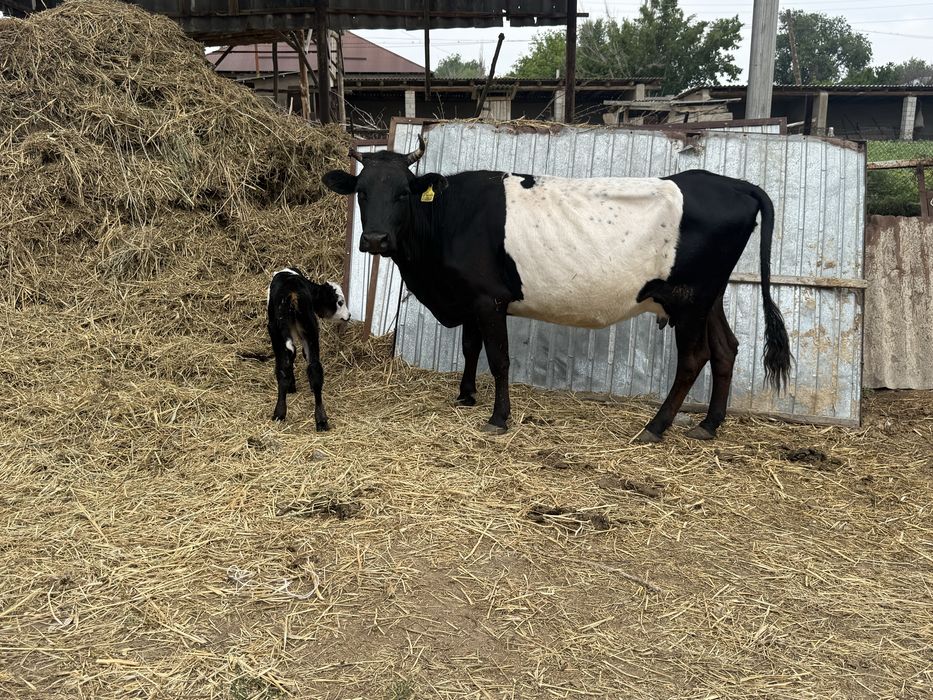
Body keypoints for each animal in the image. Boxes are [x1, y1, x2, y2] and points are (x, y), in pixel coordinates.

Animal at [267, 267, 350, 430]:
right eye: (340, 302)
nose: (349, 315)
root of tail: (292, 294)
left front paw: (291, 387)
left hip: (279, 330)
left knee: (283, 368)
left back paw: (279, 413)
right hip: (311, 330)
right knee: (315, 367)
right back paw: (321, 420)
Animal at [322, 135, 791, 442]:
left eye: (404, 192)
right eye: (362, 192)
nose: (375, 240)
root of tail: (734, 183)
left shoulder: (488, 300)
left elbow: (499, 359)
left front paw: (498, 418)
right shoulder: (472, 299)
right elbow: (471, 349)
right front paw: (465, 396)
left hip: (689, 299)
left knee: (694, 358)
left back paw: (655, 428)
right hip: (708, 297)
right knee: (727, 349)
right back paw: (708, 426)